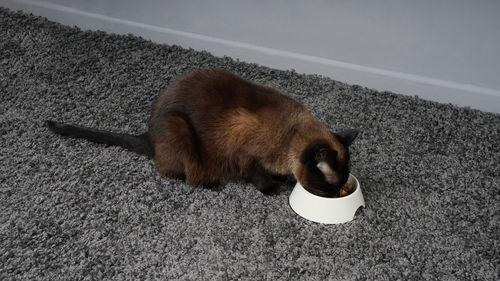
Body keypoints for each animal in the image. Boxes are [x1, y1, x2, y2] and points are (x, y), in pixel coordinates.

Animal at [47, 69, 358, 196]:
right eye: (329, 186)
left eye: (340, 185)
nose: (335, 195)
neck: (290, 135)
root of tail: (148, 135)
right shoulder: (244, 154)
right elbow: (258, 175)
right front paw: (272, 188)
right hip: (179, 128)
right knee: (185, 175)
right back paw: (211, 183)